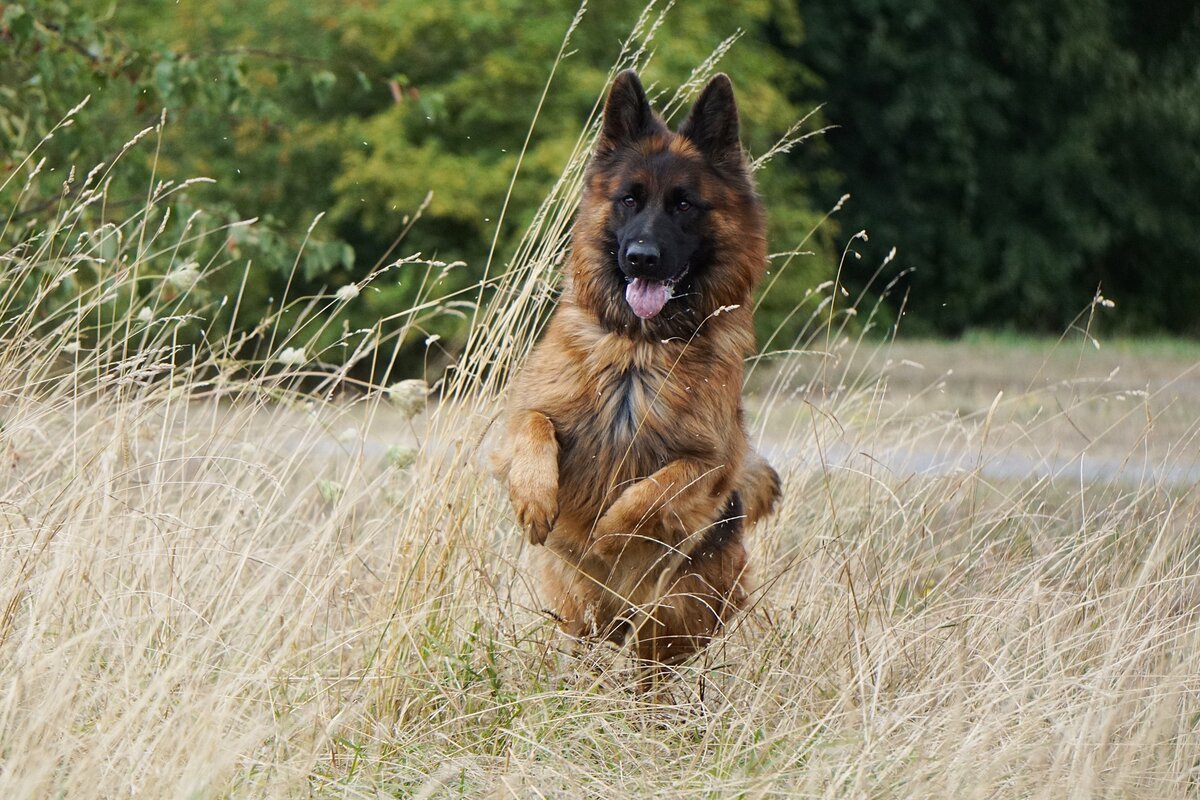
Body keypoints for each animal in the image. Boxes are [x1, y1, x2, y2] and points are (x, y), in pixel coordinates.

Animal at [494, 68, 782, 671]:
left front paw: (608, 535)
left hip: (671, 615)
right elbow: (534, 427)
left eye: (684, 205)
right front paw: (535, 500)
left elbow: (654, 492)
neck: (639, 349)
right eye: (629, 199)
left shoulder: (713, 462)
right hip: (578, 611)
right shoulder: (519, 419)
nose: (641, 258)